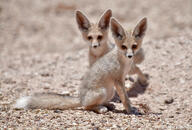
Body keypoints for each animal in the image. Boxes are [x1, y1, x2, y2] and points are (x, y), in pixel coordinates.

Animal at [14, 16, 148, 114]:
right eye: (123, 47)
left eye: (134, 46)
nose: (130, 56)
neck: (123, 62)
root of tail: (80, 98)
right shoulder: (118, 80)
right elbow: (125, 99)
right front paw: (130, 110)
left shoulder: (121, 79)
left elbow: (126, 96)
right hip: (103, 92)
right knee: (86, 106)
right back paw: (100, 108)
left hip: (109, 91)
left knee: (92, 104)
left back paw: (107, 105)